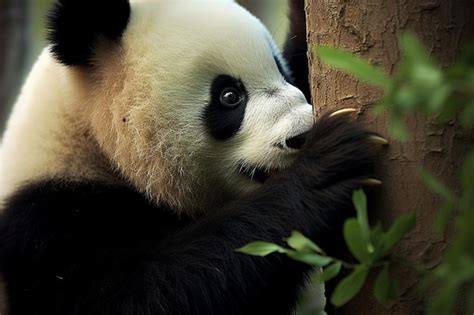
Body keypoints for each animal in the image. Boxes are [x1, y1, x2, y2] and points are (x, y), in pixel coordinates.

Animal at [0, 0, 384, 315]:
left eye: (282, 70)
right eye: (229, 96)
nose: (301, 134)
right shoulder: (48, 227)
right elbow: (135, 299)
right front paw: (327, 168)